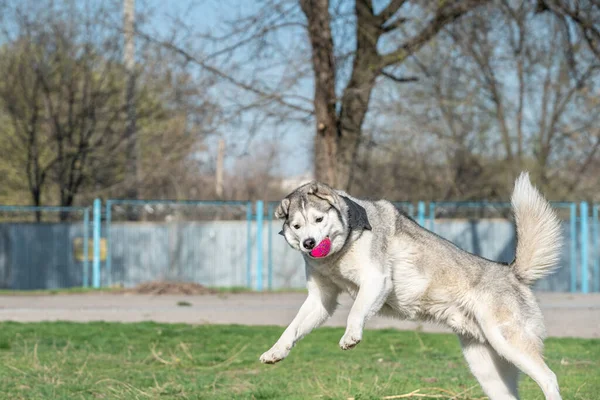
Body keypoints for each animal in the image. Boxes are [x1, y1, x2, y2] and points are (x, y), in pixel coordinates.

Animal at [260, 173, 564, 400]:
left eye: (319, 219)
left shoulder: (376, 279)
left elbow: (355, 311)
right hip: (488, 369)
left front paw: (351, 336)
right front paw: (276, 351)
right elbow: (293, 328)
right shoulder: (321, 299)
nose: (309, 243)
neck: (340, 251)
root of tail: (511, 272)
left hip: (508, 343)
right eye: (296, 226)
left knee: (549, 378)